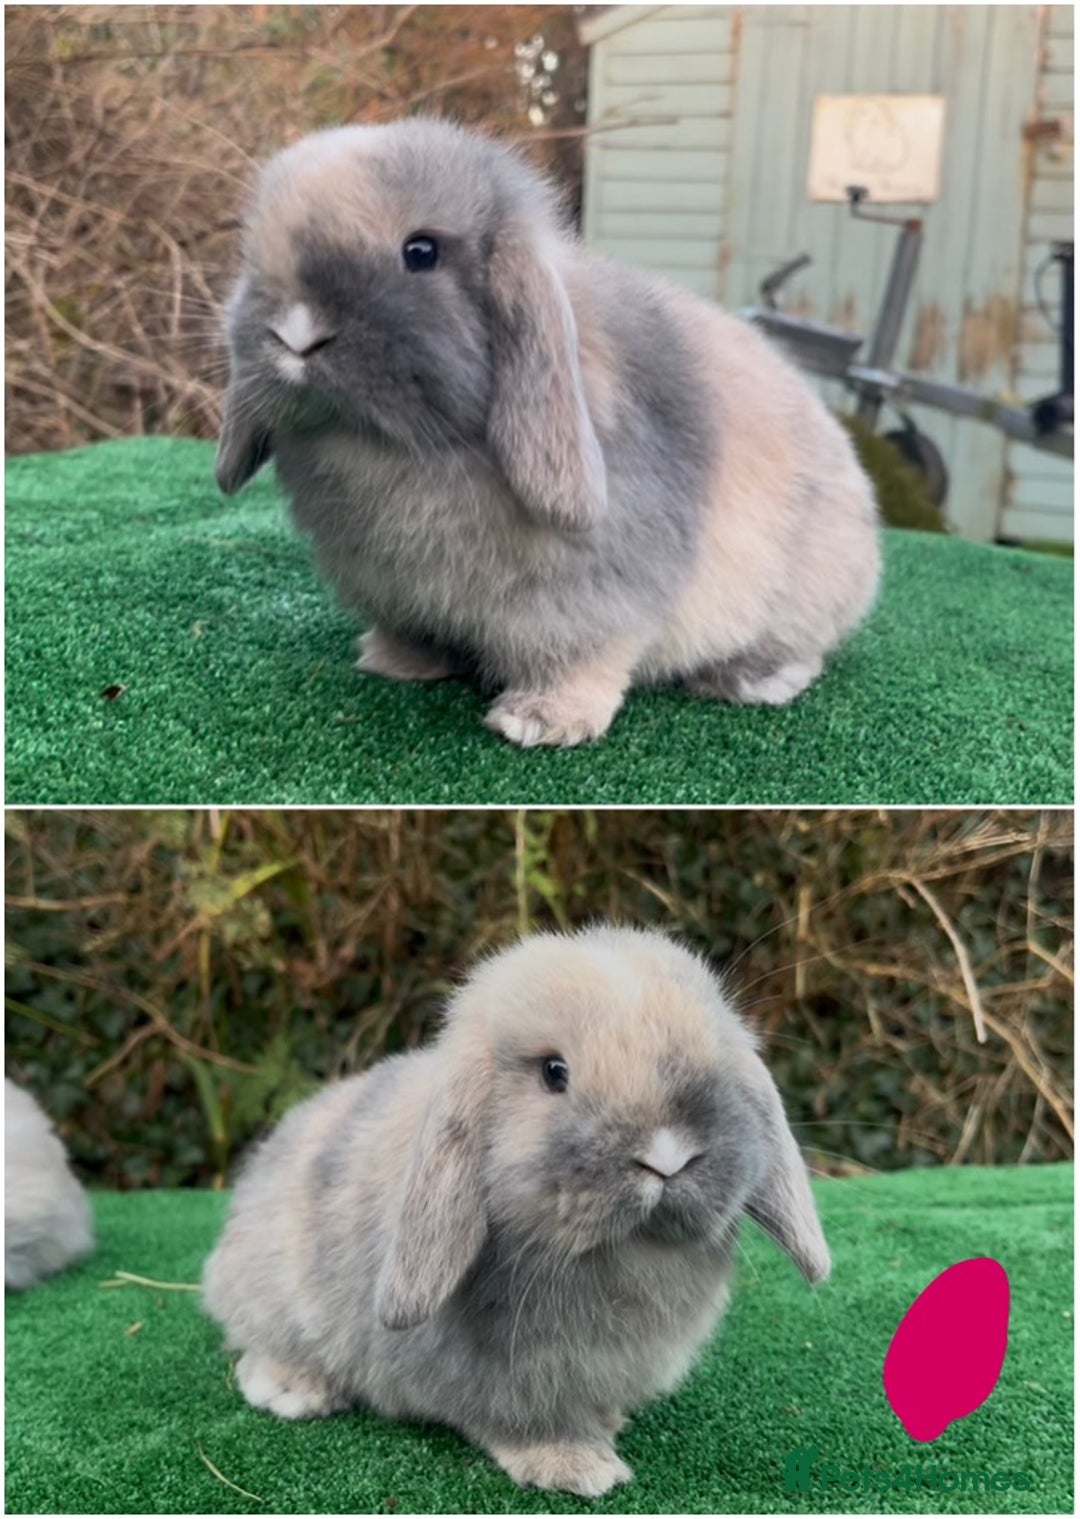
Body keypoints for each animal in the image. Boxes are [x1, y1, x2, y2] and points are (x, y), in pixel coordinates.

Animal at [202, 925, 829, 1496]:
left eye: (714, 1058)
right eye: (554, 1072)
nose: (667, 1156)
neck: (617, 1258)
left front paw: (607, 1424)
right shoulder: (502, 1375)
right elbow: (521, 1420)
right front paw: (577, 1467)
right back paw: (292, 1391)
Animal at [214, 117, 881, 748]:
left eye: (421, 251)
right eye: (255, 247)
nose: (295, 334)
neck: (390, 448)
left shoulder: (592, 598)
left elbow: (579, 657)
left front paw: (540, 721)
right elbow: (414, 632)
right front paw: (395, 662)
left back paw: (747, 680)